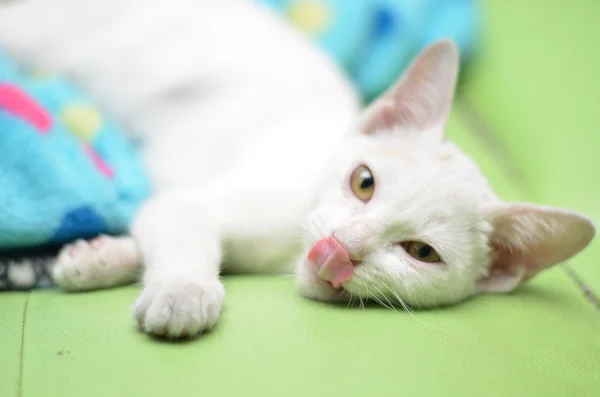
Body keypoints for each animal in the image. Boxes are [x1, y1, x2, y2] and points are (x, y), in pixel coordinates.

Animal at [0, 0, 592, 338]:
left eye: (422, 253)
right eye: (363, 182)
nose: (342, 247)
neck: (284, 252)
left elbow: (155, 226)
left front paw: (96, 259)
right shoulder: (200, 200)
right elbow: (181, 223)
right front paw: (182, 294)